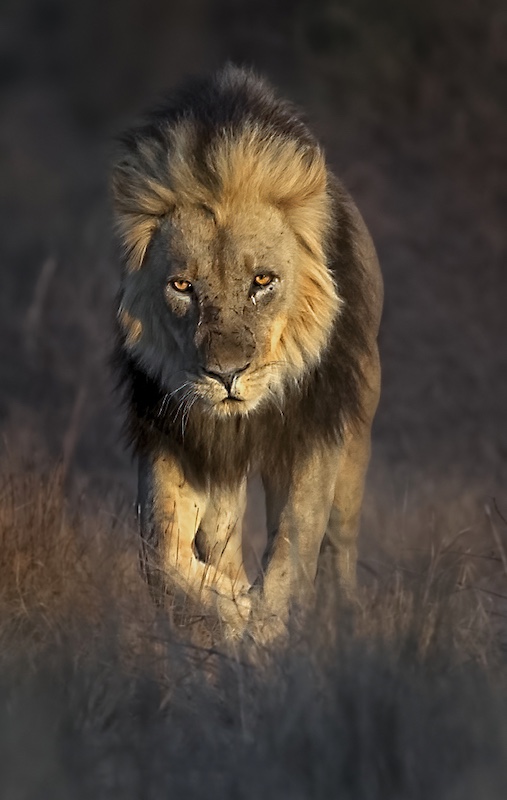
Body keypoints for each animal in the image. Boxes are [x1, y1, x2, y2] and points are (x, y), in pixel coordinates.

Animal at [112, 66, 383, 640]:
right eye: (182, 286)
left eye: (262, 281)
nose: (226, 375)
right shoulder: (174, 432)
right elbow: (161, 556)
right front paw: (234, 611)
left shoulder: (312, 433)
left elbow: (293, 548)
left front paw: (263, 628)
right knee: (220, 533)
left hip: (356, 433)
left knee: (338, 543)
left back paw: (340, 616)